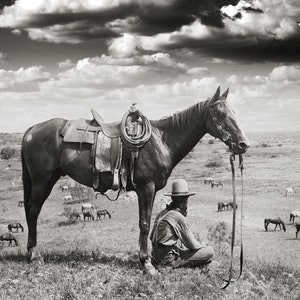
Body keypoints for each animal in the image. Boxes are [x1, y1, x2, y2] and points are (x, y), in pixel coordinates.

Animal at [21, 86, 250, 274]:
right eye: (221, 113)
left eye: (235, 112)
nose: (243, 144)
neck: (161, 140)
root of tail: (32, 130)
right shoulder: (145, 187)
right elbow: (145, 223)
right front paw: (146, 264)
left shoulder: (152, 189)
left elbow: (148, 222)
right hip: (42, 181)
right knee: (32, 212)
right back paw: (34, 255)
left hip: (49, 179)